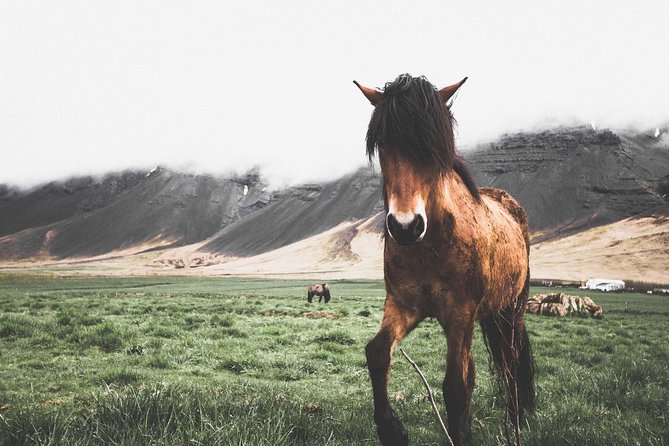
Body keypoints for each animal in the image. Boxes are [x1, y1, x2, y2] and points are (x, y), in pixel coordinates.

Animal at [352, 75, 536, 444]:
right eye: (382, 144)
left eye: (432, 147)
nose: (405, 226)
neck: (431, 245)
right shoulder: (404, 305)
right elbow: (377, 353)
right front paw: (392, 429)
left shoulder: (460, 313)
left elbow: (456, 385)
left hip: (512, 310)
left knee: (510, 365)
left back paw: (513, 426)